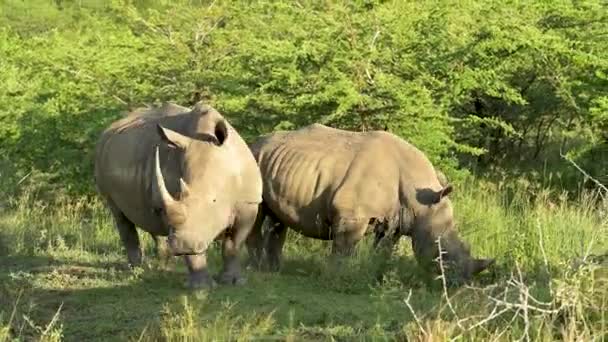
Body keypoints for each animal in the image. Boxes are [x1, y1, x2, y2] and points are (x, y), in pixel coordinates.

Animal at [94, 101, 262, 288]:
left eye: (214, 200)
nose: (181, 246)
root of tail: (109, 130)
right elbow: (194, 251)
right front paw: (201, 287)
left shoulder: (249, 203)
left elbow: (233, 245)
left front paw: (233, 282)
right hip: (103, 161)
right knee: (120, 215)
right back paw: (137, 270)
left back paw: (161, 266)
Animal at [246, 124, 494, 282]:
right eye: (441, 252)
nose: (458, 284)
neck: (419, 201)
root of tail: (254, 142)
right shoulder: (350, 214)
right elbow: (345, 247)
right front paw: (339, 276)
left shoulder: (397, 219)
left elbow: (385, 249)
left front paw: (379, 275)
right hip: (255, 159)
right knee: (257, 216)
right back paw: (256, 269)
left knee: (278, 220)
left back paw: (274, 270)